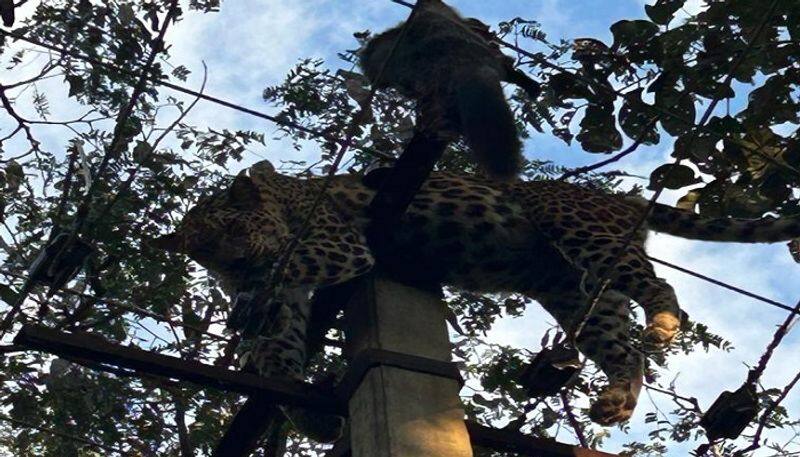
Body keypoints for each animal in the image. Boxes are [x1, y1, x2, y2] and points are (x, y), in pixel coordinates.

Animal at [152, 160, 800, 432]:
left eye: (237, 227)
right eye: (209, 247)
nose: (243, 261)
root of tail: (619, 201)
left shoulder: (336, 244)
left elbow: (288, 269)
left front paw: (249, 300)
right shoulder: (286, 300)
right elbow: (278, 351)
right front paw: (305, 410)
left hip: (583, 231)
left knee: (661, 288)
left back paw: (663, 321)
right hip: (574, 292)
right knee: (623, 348)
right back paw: (615, 400)